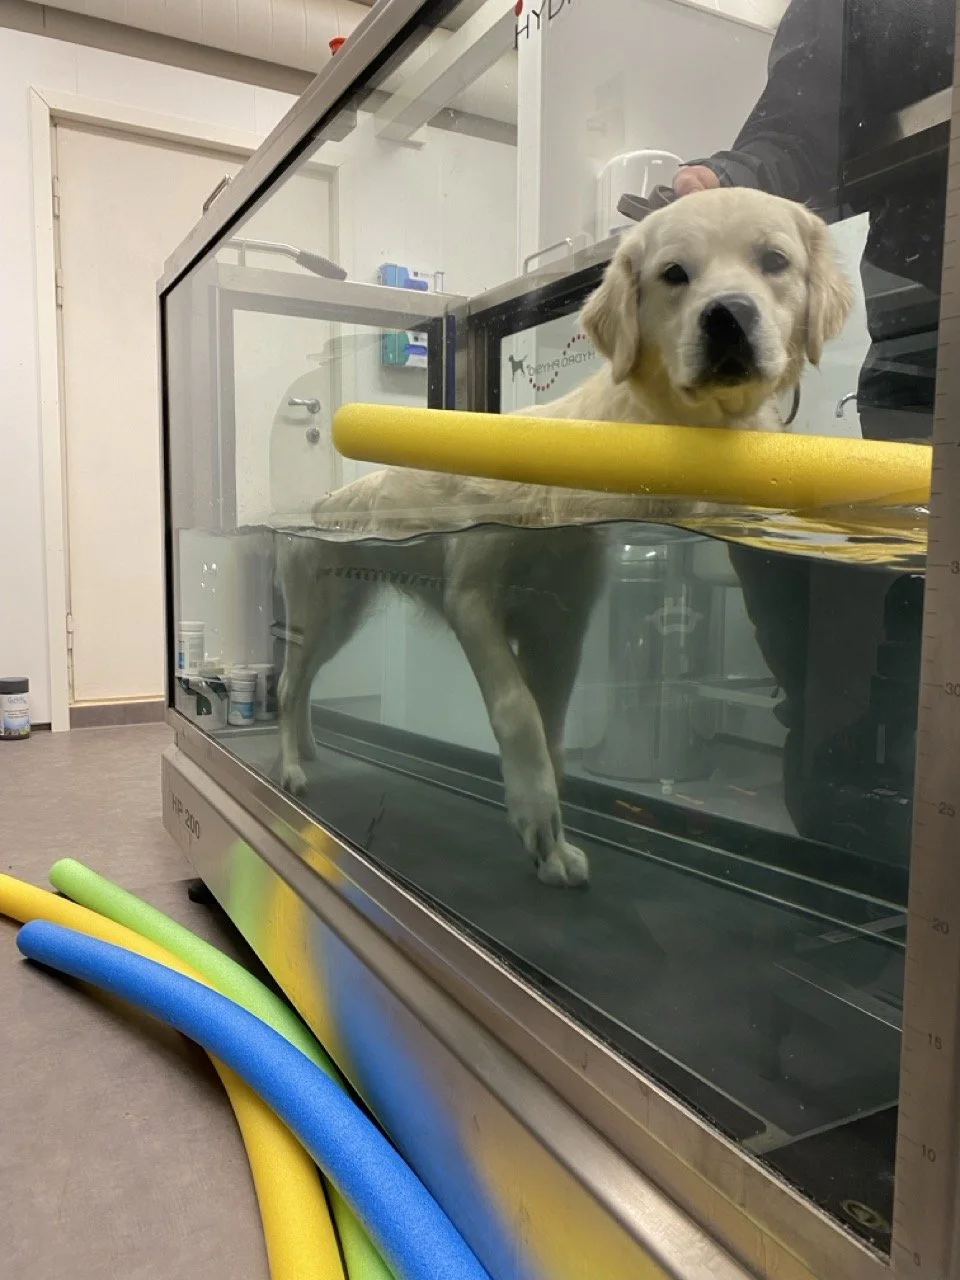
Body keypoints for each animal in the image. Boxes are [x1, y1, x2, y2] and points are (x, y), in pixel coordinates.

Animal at [276, 188, 852, 888]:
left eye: (775, 261)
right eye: (674, 273)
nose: (730, 316)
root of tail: (323, 502)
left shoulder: (563, 624)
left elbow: (551, 727)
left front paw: (553, 844)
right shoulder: (473, 599)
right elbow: (517, 712)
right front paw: (534, 814)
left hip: (343, 616)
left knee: (303, 686)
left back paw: (308, 748)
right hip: (319, 610)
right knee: (287, 686)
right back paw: (290, 767)